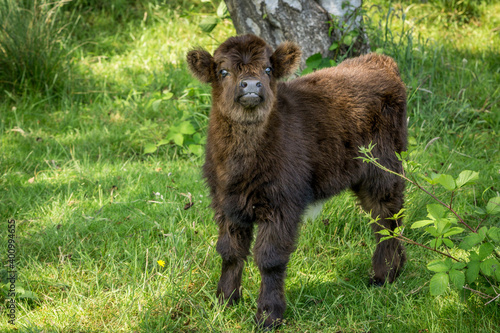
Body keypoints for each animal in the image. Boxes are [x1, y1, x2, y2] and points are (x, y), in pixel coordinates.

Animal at [186, 35, 408, 328]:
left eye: (268, 69)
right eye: (223, 71)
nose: (251, 85)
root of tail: (382, 62)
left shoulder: (282, 203)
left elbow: (270, 258)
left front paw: (269, 315)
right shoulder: (225, 203)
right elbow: (230, 251)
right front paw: (224, 301)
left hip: (383, 167)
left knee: (387, 217)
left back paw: (384, 275)